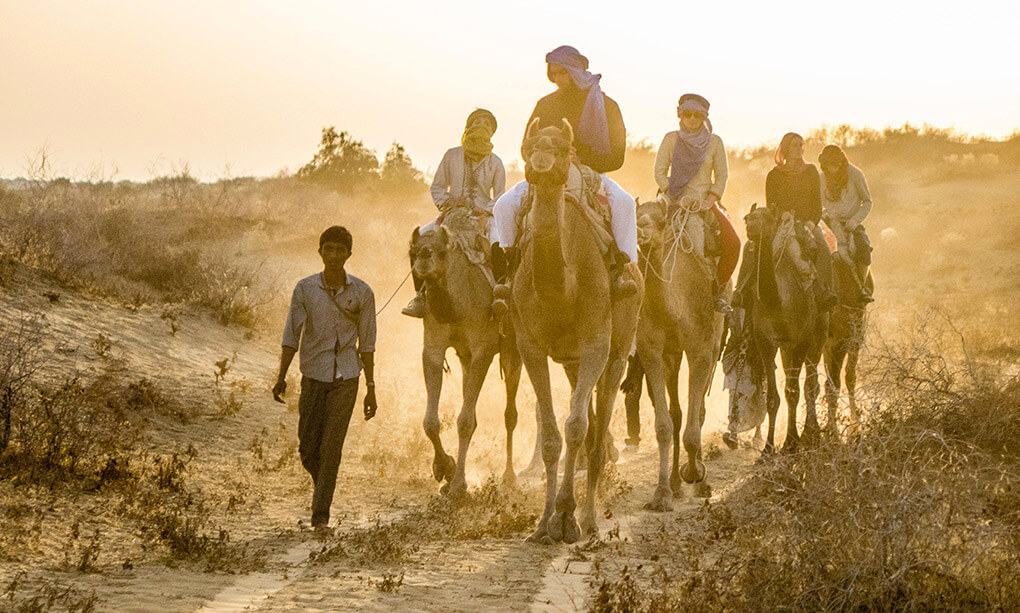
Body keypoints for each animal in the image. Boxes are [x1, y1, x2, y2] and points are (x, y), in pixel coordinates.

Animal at [405, 207, 522, 497]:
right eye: (413, 251)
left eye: (442, 252)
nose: (423, 258)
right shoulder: (433, 348)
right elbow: (431, 421)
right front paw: (445, 469)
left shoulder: (484, 350)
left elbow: (465, 421)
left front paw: (458, 486)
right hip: (466, 358)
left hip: (513, 349)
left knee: (510, 414)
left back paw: (509, 477)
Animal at [514, 119, 640, 546]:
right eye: (529, 146)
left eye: (563, 149)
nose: (540, 161)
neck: (560, 290)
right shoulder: (530, 345)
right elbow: (554, 436)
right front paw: (543, 524)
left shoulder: (596, 345)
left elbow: (576, 427)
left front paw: (569, 518)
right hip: (570, 361)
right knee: (587, 423)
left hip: (617, 350)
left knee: (598, 427)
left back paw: (589, 519)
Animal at [632, 198, 730, 509]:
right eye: (636, 215)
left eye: (660, 221)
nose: (641, 232)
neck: (673, 308)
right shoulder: (652, 351)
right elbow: (664, 424)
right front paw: (661, 494)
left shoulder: (700, 348)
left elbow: (694, 421)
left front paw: (696, 474)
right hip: (672, 357)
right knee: (676, 414)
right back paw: (675, 484)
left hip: (714, 340)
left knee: (698, 411)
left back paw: (699, 483)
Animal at [742, 206, 828, 454]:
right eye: (749, 217)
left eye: (767, 217)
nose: (750, 224)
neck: (778, 303)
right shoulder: (766, 342)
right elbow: (773, 398)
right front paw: (768, 450)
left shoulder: (801, 340)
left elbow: (793, 392)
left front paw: (792, 442)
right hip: (786, 347)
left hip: (818, 333)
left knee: (810, 385)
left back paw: (812, 434)